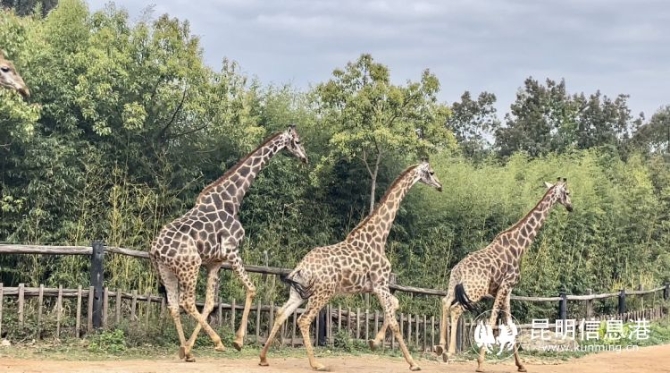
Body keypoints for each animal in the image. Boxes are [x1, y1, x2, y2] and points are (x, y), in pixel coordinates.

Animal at [148, 124, 308, 360]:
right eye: (297, 141)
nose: (305, 158)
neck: (232, 200)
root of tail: (155, 250)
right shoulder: (233, 250)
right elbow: (251, 289)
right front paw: (237, 341)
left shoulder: (215, 262)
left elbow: (209, 304)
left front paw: (192, 345)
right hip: (190, 265)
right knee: (186, 302)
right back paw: (214, 342)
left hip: (166, 270)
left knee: (175, 305)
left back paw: (186, 351)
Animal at [260, 159, 444, 370]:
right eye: (431, 172)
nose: (440, 186)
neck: (379, 237)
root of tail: (301, 268)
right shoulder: (380, 284)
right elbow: (395, 322)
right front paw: (413, 363)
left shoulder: (374, 287)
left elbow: (395, 305)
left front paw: (374, 342)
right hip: (324, 292)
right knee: (303, 320)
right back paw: (316, 364)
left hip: (299, 292)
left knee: (281, 313)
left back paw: (263, 358)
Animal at [436, 177, 576, 370]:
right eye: (567, 193)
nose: (571, 206)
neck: (520, 246)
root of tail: (459, 271)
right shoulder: (506, 286)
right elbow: (493, 320)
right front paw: (481, 363)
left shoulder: (505, 290)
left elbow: (509, 325)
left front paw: (520, 365)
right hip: (474, 291)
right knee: (455, 309)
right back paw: (449, 352)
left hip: (453, 286)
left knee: (445, 302)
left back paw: (440, 347)